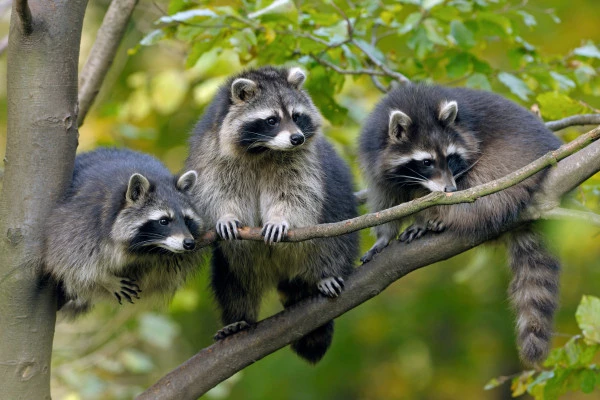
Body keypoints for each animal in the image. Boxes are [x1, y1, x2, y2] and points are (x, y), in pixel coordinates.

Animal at [43, 148, 205, 318]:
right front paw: (105, 279)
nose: (189, 243)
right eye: (164, 221)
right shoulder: (82, 220)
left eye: (187, 220)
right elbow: (69, 260)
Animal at [185, 66, 358, 366]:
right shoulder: (211, 151)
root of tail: (284, 271)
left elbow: (295, 193)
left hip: (335, 218)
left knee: (333, 239)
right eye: (271, 120)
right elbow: (217, 190)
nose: (297, 138)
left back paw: (327, 272)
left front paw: (280, 218)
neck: (264, 149)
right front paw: (226, 215)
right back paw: (239, 318)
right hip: (238, 262)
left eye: (297, 116)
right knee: (232, 281)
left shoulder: (303, 161)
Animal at [360, 85, 564, 366]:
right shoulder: (376, 157)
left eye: (450, 158)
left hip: (520, 160)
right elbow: (385, 200)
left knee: (489, 186)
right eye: (426, 162)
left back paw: (445, 217)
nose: (450, 190)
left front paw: (428, 215)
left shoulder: (469, 142)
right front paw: (384, 236)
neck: (417, 104)